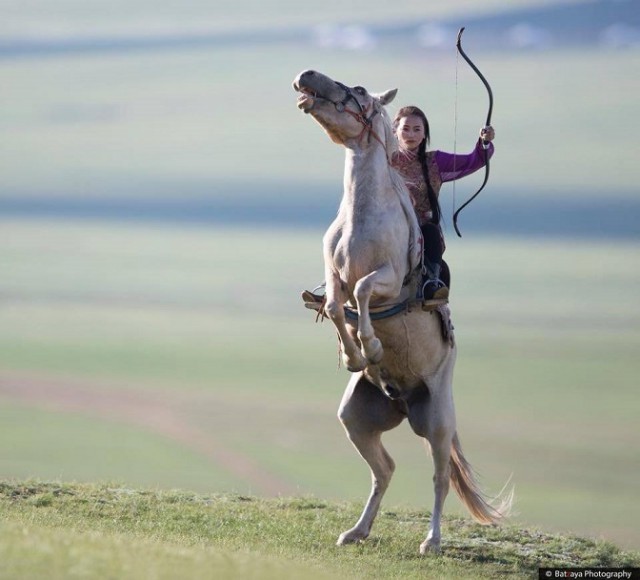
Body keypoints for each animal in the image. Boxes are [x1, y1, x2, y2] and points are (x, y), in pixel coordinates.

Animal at [294, 70, 510, 556]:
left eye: (357, 92)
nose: (305, 77)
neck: (362, 218)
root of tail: (404, 400)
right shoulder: (333, 274)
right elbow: (335, 302)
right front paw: (354, 355)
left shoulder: (388, 279)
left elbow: (363, 289)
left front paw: (370, 347)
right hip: (356, 420)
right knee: (385, 469)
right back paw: (356, 531)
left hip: (437, 421)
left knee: (440, 476)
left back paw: (432, 541)